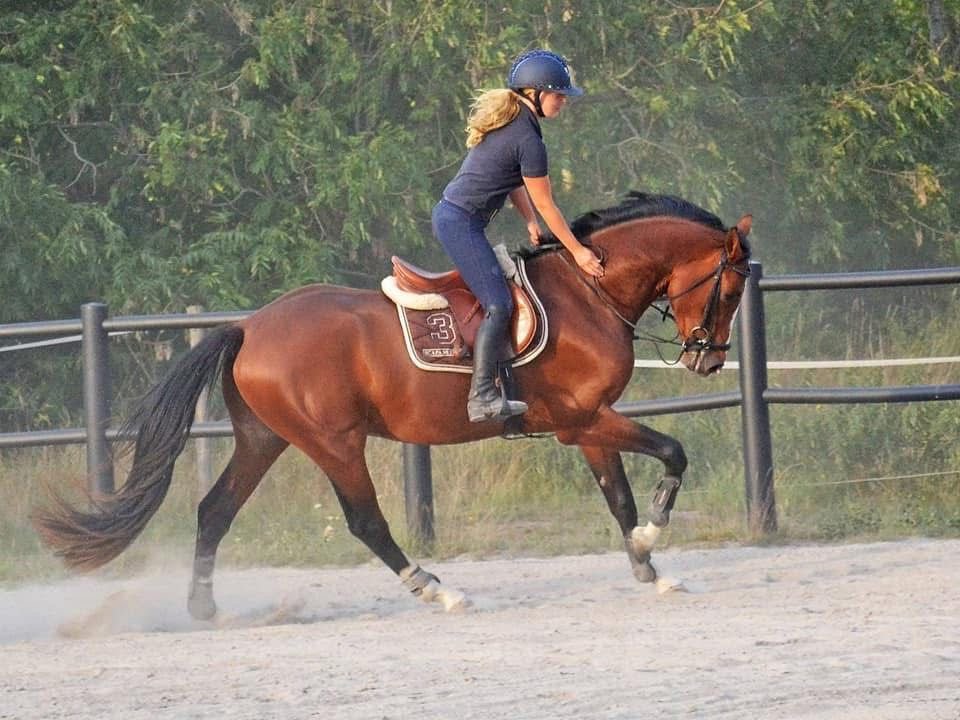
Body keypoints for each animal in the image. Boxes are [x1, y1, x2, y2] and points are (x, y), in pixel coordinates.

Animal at [33, 192, 752, 617]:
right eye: (731, 286)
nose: (708, 359)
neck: (588, 291)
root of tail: (250, 326)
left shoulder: (587, 426)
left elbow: (619, 498)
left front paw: (648, 566)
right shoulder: (582, 420)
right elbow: (672, 452)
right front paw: (653, 539)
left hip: (265, 438)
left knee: (214, 511)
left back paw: (203, 608)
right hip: (334, 442)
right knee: (366, 522)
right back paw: (437, 589)